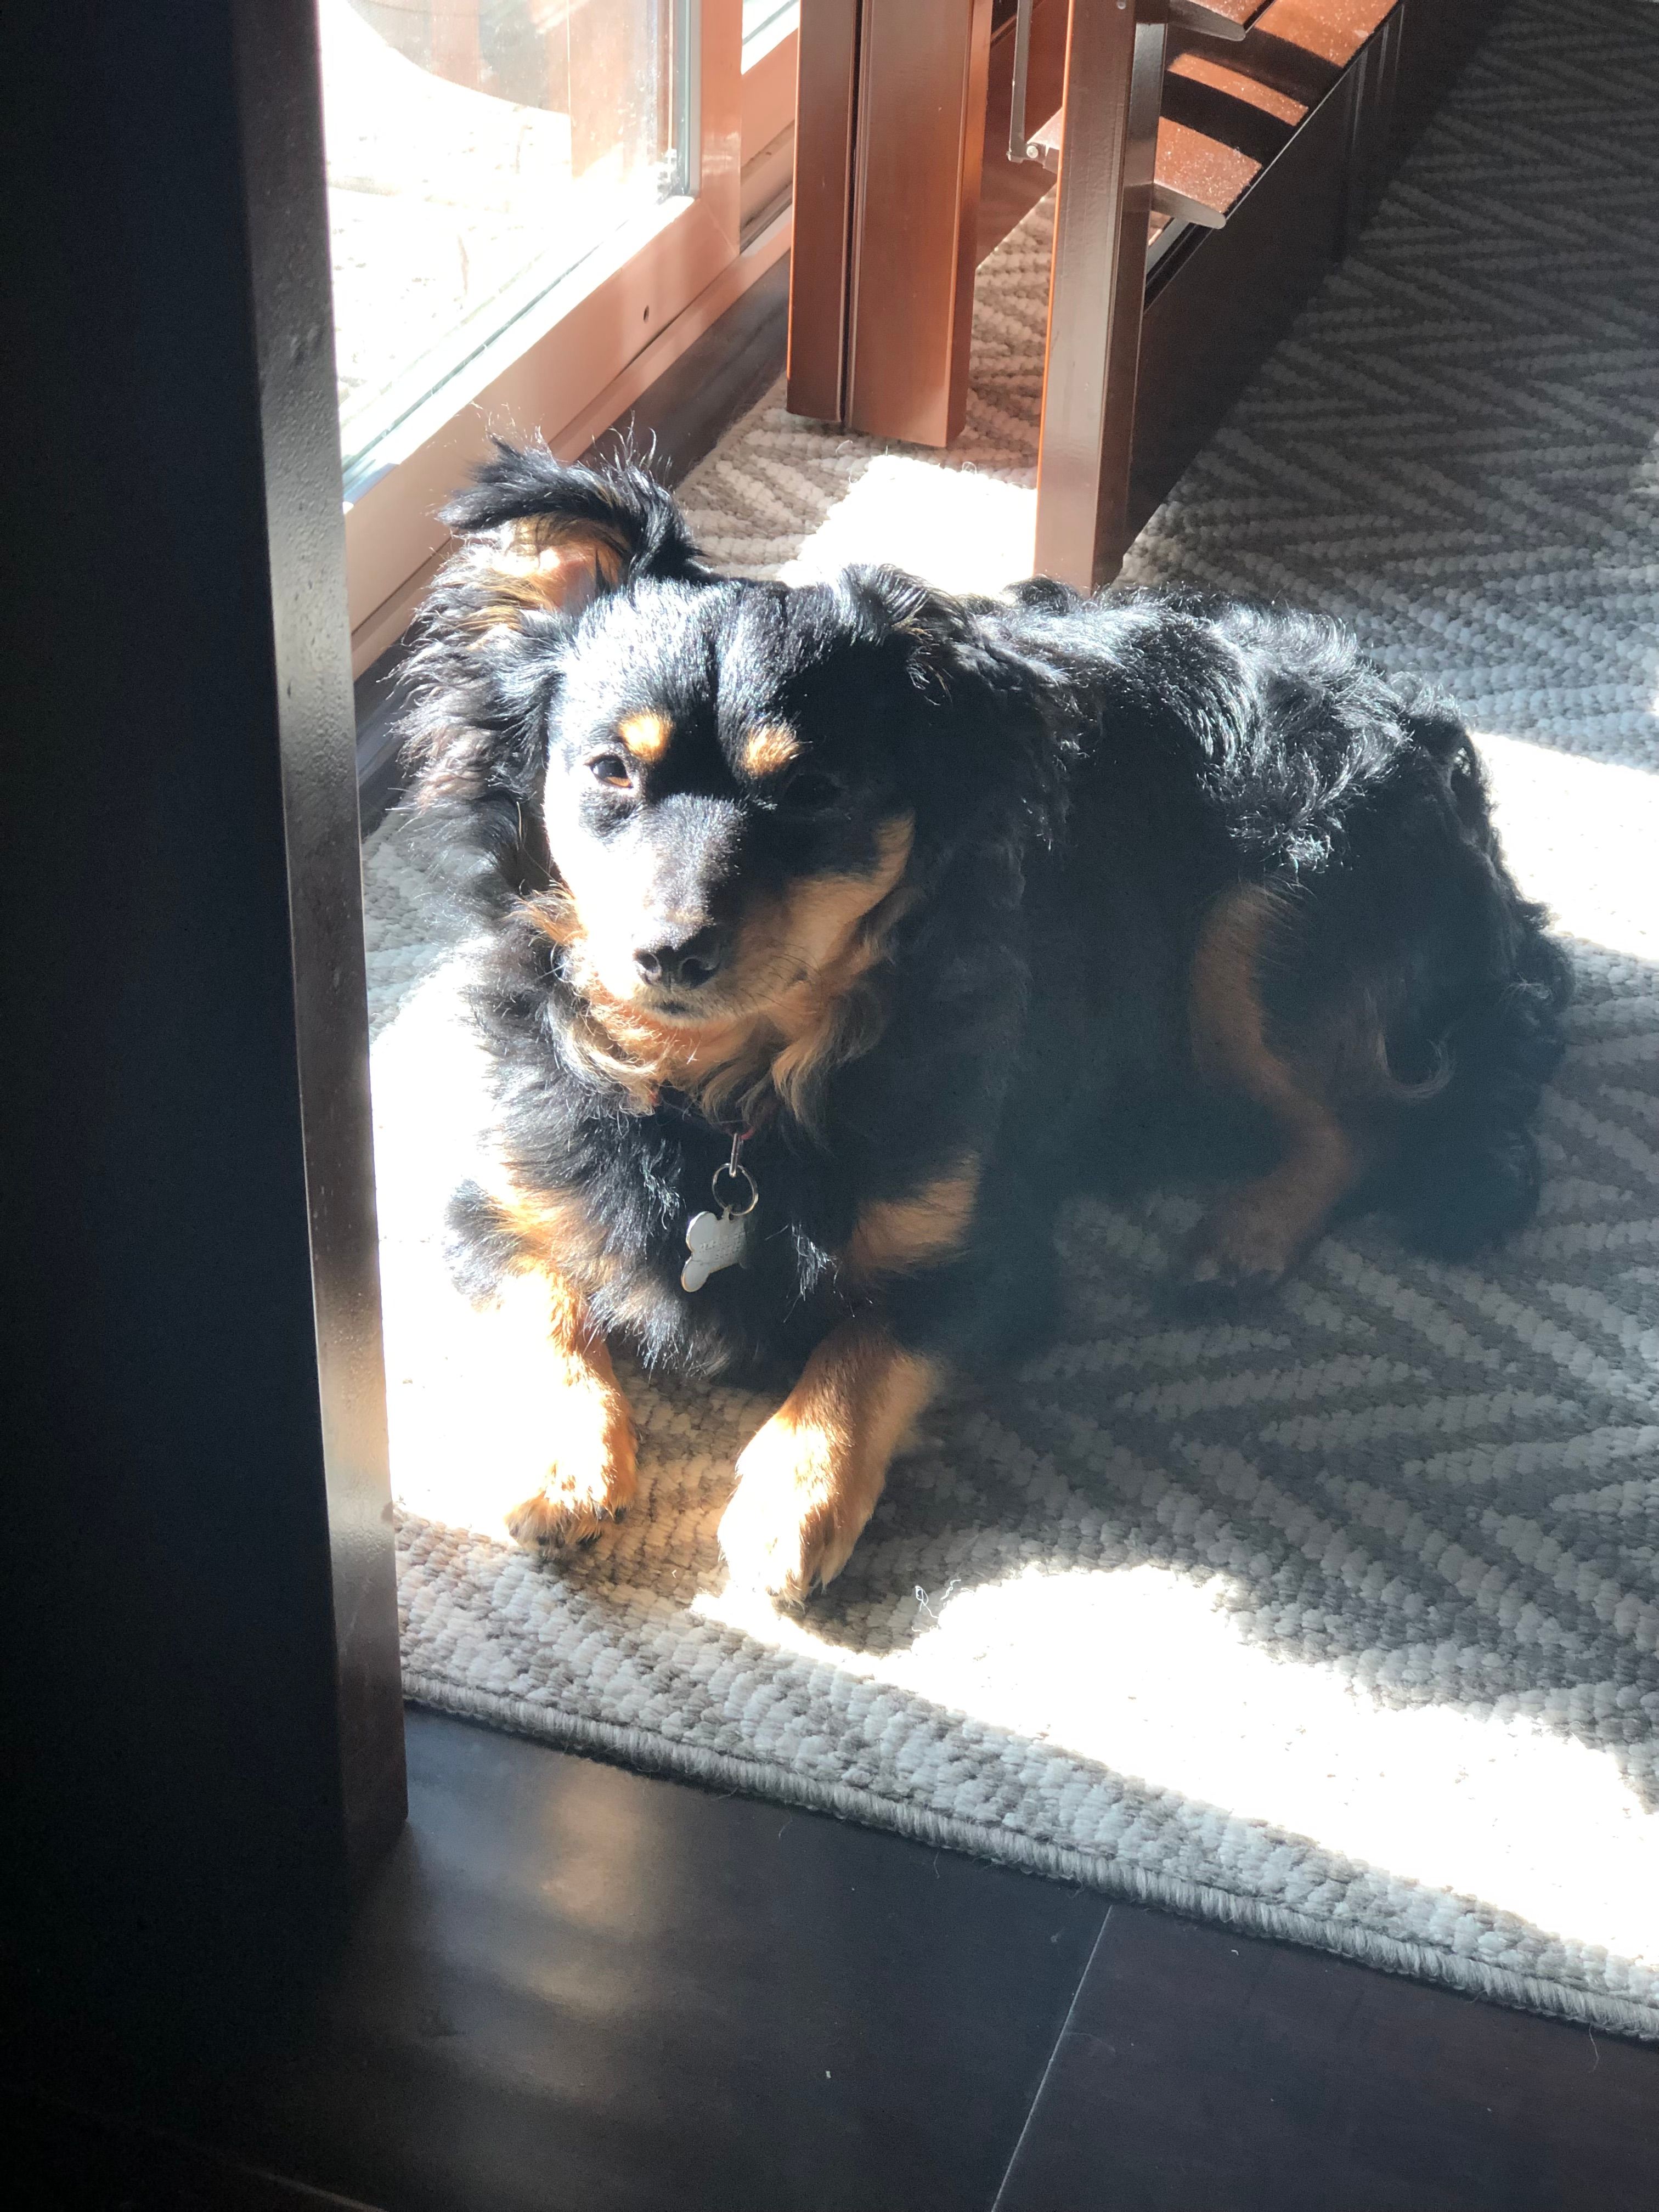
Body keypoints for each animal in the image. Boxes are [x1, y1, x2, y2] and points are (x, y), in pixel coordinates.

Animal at [398, 443, 1570, 1604]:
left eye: (811, 791)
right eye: (608, 769)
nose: (667, 953)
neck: (724, 1090)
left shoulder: (989, 1256)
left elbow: (863, 1344)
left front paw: (791, 1495)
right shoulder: (492, 1201)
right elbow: (546, 1308)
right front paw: (564, 1463)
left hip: (1256, 922)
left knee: (1368, 1118)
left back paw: (1243, 1234)